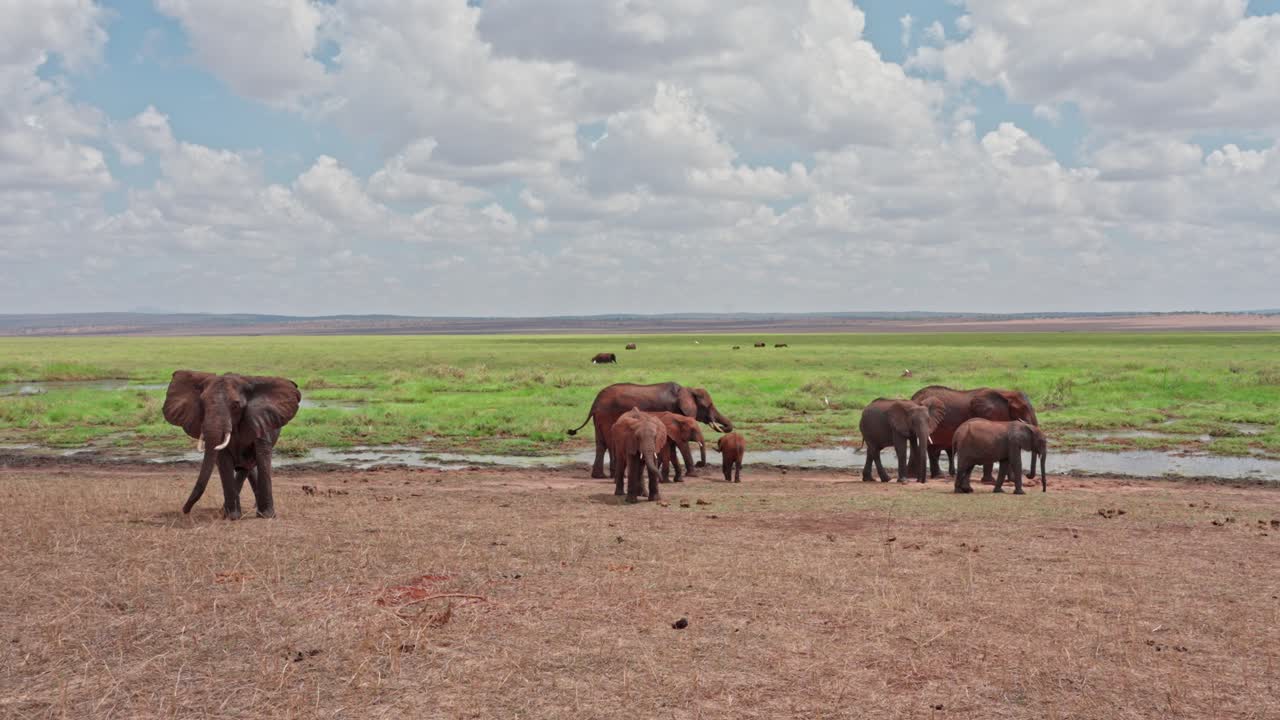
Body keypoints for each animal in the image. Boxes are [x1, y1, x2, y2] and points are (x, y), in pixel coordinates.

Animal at [163, 370, 301, 519]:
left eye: (235, 406)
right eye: (202, 403)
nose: (185, 510)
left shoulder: (260, 421)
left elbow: (262, 454)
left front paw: (267, 516)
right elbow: (224, 459)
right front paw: (232, 517)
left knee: (248, 465)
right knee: (245, 467)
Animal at [566, 382, 733, 478]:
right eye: (708, 406)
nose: (699, 463)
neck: (687, 389)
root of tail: (595, 402)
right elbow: (680, 443)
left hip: (600, 418)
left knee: (601, 443)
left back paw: (600, 476)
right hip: (607, 415)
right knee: (609, 442)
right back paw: (612, 475)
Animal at [909, 386, 1040, 483]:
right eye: (1022, 409)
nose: (1028, 475)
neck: (1005, 393)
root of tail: (913, 398)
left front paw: (1010, 481)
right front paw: (990, 481)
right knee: (933, 449)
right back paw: (939, 476)